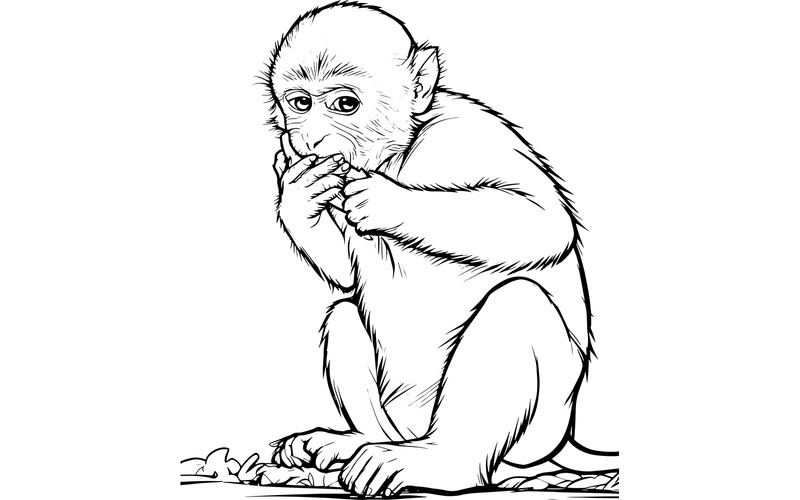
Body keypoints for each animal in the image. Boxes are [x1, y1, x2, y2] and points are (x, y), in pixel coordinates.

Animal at [261, 2, 618, 496]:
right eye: (301, 104)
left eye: (345, 104)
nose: (311, 139)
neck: (397, 154)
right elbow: (346, 275)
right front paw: (300, 196)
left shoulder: (467, 134)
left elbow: (542, 219)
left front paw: (383, 200)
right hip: (401, 420)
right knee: (344, 315)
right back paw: (355, 442)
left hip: (538, 432)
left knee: (518, 301)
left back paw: (443, 462)